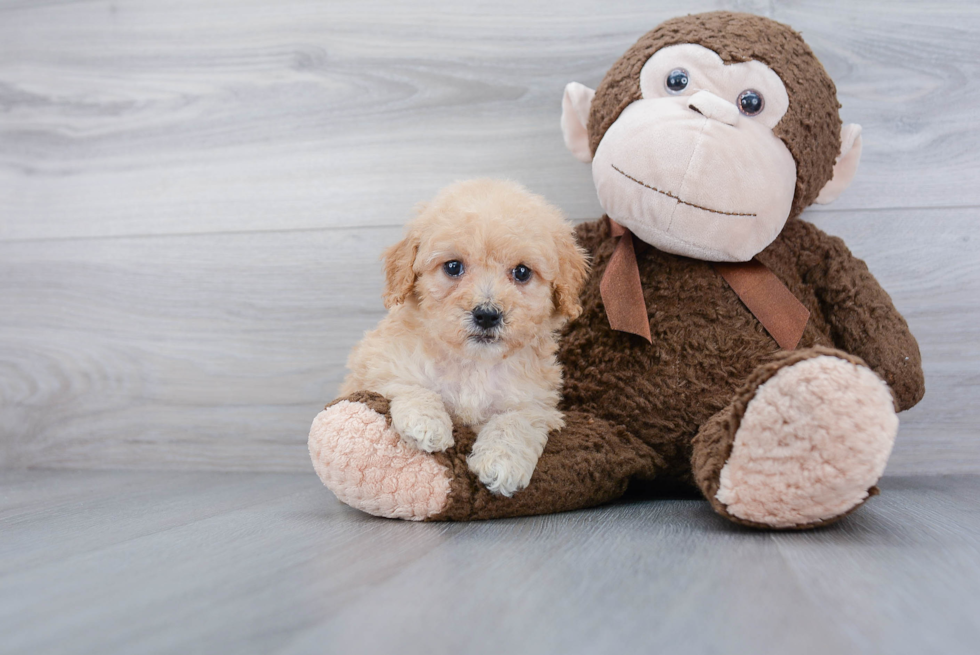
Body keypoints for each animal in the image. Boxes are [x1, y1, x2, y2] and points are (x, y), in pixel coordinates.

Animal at [340, 179, 588, 498]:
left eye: (522, 272)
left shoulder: (536, 402)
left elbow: (516, 420)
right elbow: (409, 385)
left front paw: (501, 463)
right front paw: (426, 424)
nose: (487, 314)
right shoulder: (381, 365)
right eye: (453, 267)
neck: (474, 364)